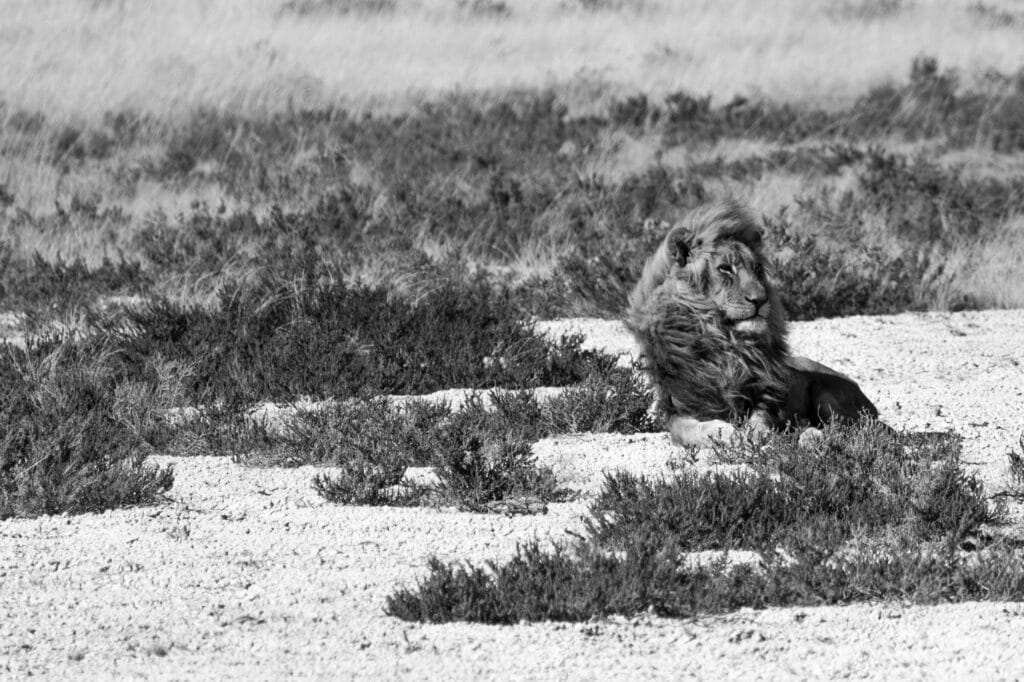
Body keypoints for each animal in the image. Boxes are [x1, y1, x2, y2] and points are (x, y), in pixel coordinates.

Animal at [624, 200, 879, 446]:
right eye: (725, 269)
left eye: (756, 268)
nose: (760, 299)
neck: (725, 342)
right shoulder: (678, 406)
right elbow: (689, 429)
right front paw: (726, 433)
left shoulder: (763, 396)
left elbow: (760, 419)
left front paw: (757, 435)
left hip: (828, 397)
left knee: (854, 430)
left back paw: (810, 435)